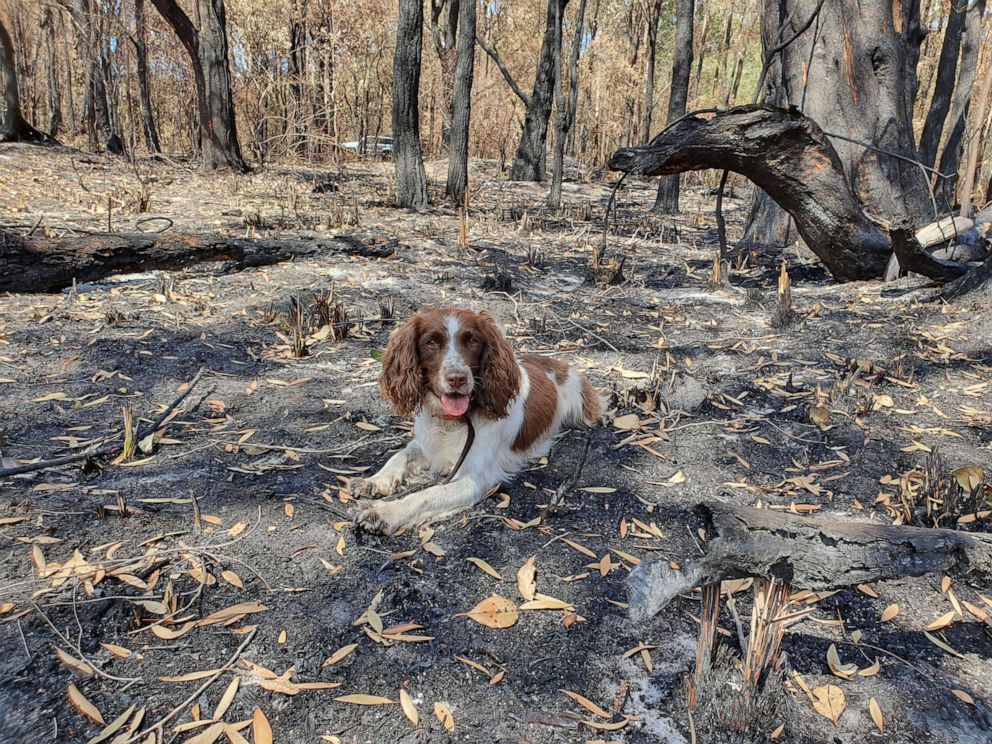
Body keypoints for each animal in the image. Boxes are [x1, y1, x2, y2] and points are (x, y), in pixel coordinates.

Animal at [352, 308, 608, 536]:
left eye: (473, 341)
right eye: (431, 342)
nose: (457, 378)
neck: (453, 422)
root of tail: (551, 360)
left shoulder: (474, 479)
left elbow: (426, 495)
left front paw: (385, 512)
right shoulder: (426, 445)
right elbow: (400, 455)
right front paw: (374, 481)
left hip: (580, 399)